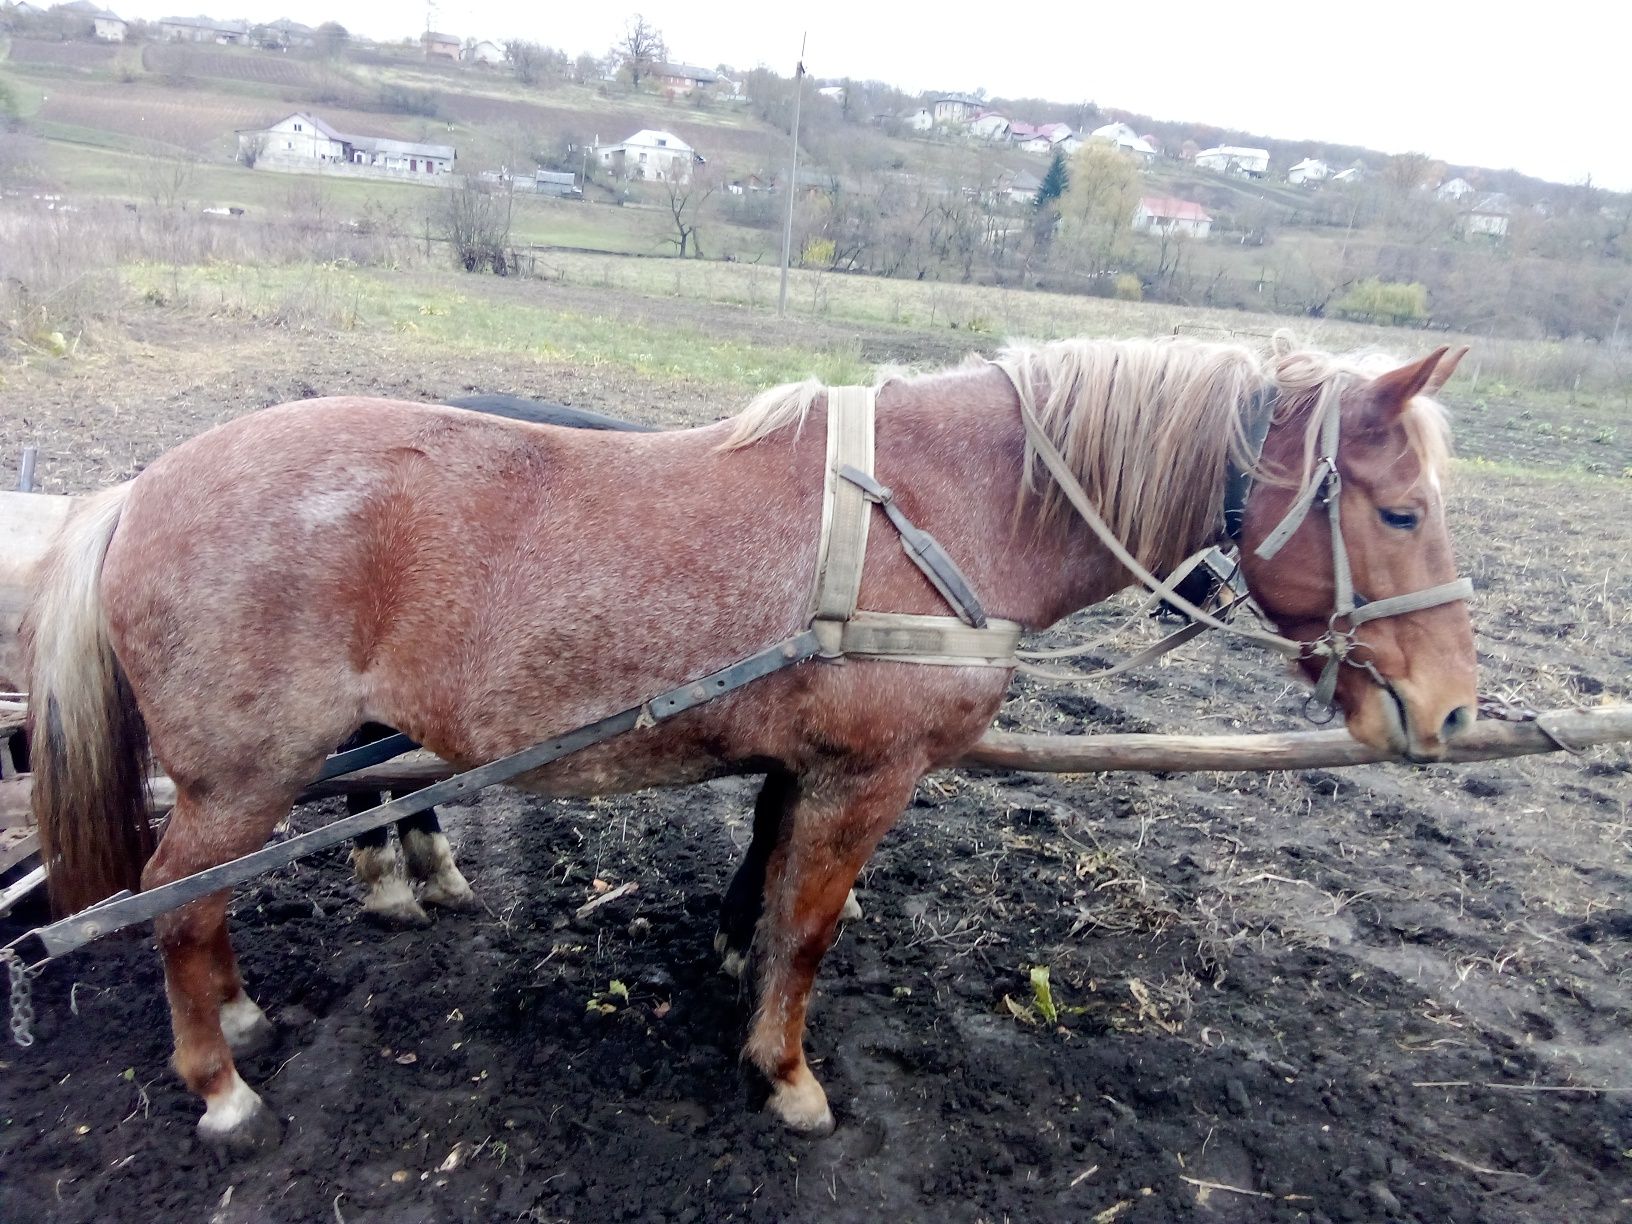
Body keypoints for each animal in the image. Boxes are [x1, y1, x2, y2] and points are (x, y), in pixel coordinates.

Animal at [25, 332, 1481, 1148]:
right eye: (1400, 512)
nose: (1454, 709)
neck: (937, 506)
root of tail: (142, 487)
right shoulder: (866, 778)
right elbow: (812, 928)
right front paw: (783, 1074)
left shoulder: (804, 767)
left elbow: (770, 896)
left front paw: (742, 991)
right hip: (243, 774)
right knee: (173, 898)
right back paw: (217, 1081)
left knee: (197, 903)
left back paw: (238, 1009)